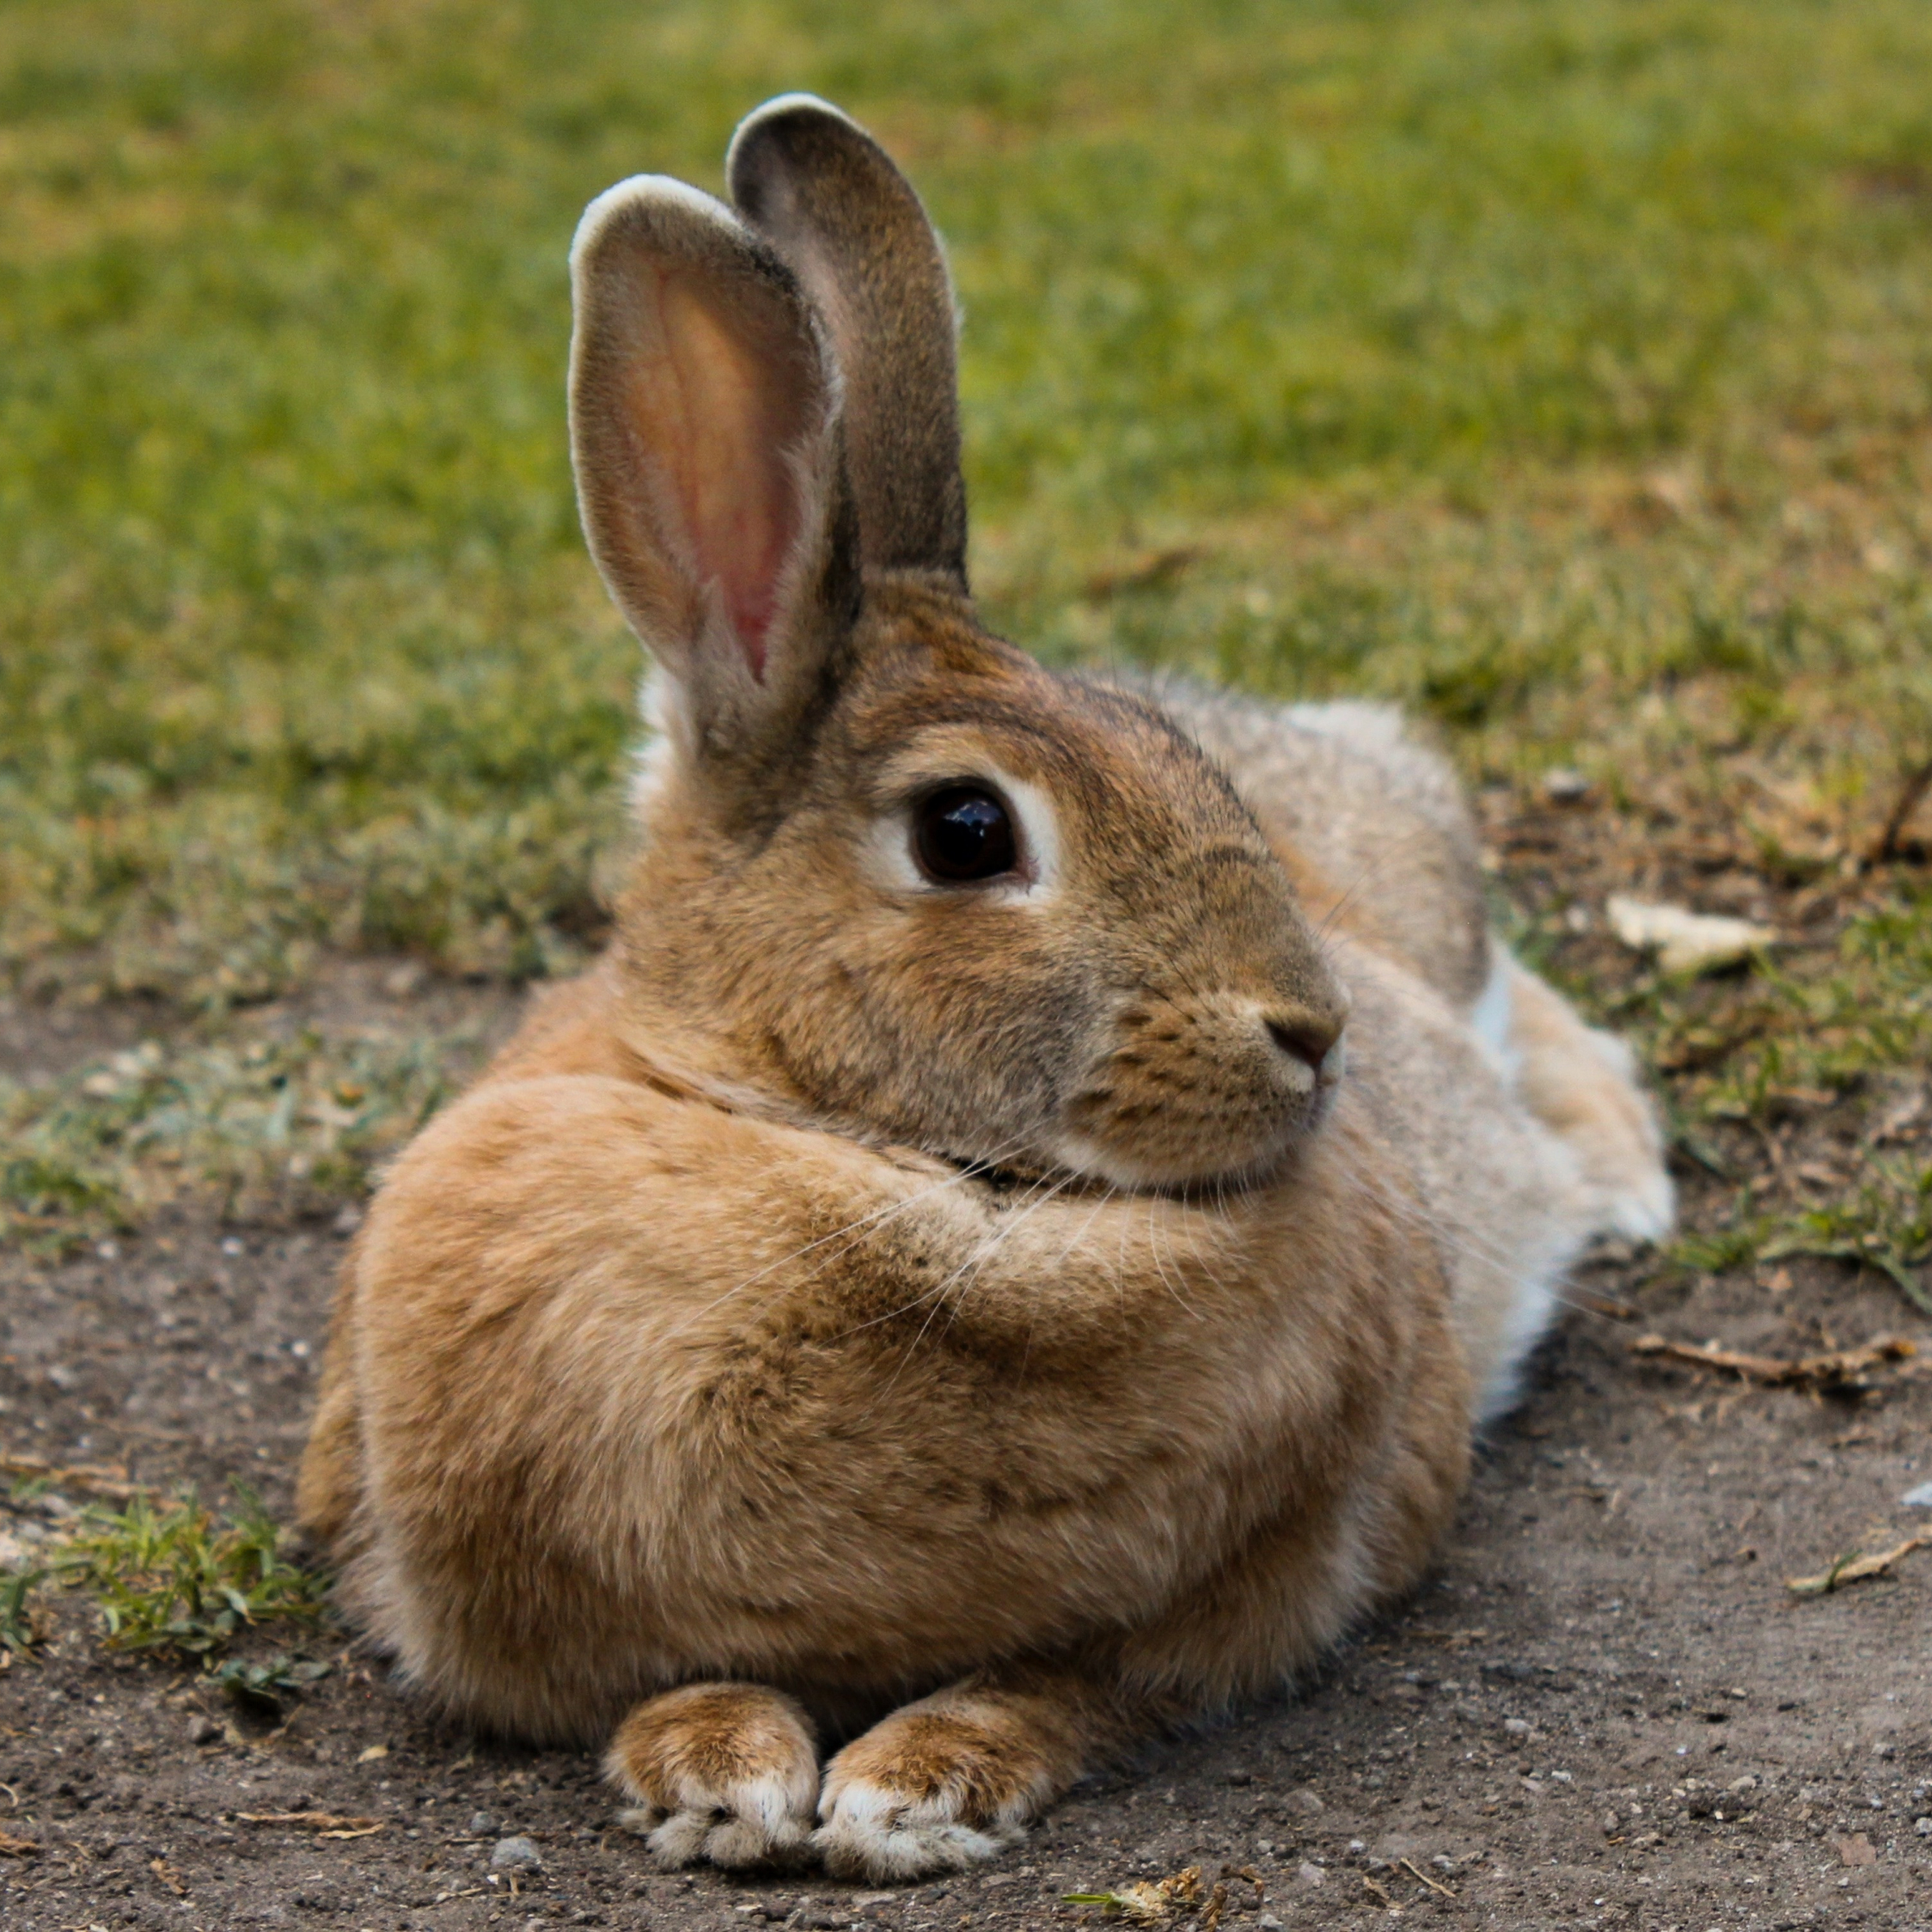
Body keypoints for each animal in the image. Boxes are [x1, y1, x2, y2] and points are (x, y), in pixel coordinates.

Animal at [293, 94, 1669, 1886]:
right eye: (965, 831)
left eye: (1175, 757)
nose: (1311, 1030)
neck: (835, 1136)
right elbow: (670, 1676)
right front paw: (714, 1776)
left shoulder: (1243, 1593)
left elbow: (1066, 1681)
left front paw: (910, 1788)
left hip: (1430, 914)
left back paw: (1623, 1182)